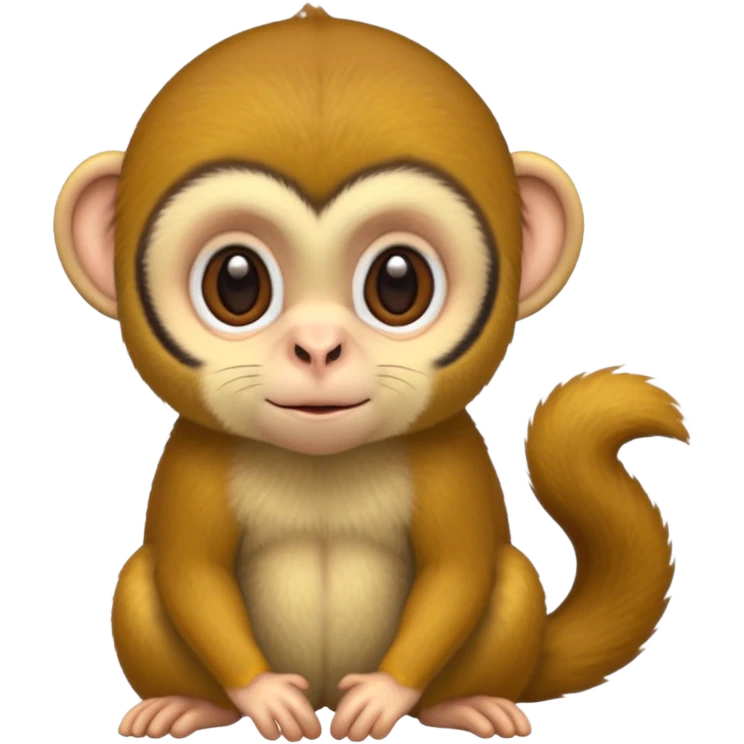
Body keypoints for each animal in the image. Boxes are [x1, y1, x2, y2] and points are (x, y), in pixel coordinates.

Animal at [54, 4, 689, 742]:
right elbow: (191, 572)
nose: (318, 348)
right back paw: (190, 702)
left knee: (506, 583)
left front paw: (385, 696)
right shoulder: (196, 462)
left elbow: (459, 571)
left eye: (398, 282)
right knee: (140, 582)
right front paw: (263, 695)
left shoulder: (449, 457)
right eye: (236, 283)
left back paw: (460, 703)